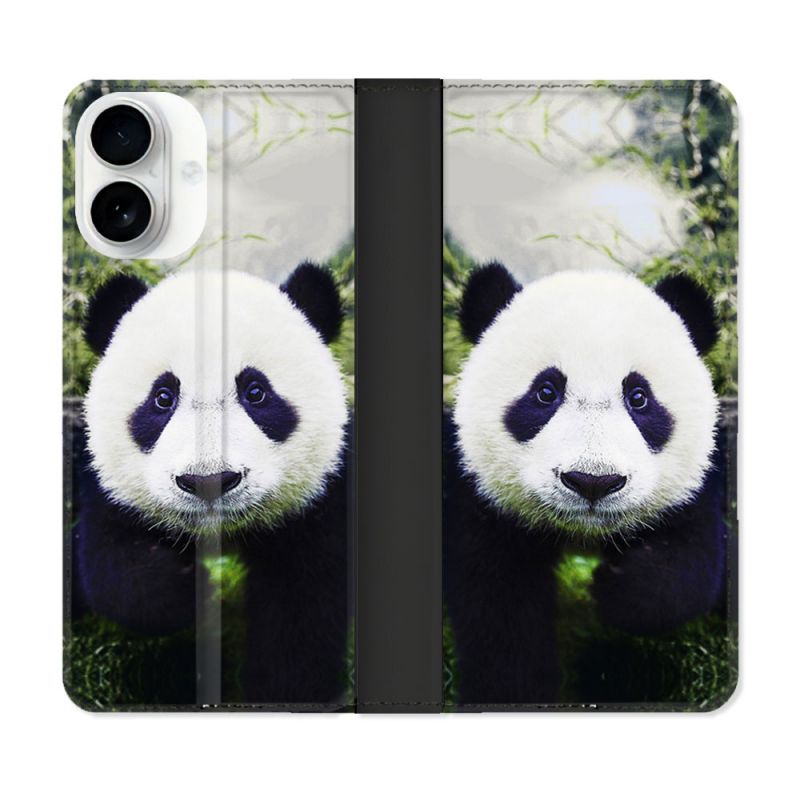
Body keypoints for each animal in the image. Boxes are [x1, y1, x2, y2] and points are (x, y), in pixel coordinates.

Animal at [74, 263, 350, 705]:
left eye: (256, 392)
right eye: (162, 397)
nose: (208, 481)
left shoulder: (318, 501)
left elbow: (301, 610)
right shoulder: (108, 490)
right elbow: (116, 571)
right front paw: (191, 590)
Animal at [445, 264, 726, 705]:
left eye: (639, 397)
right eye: (545, 392)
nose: (593, 482)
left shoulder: (693, 490)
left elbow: (687, 568)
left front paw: (617, 588)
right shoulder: (484, 503)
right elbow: (500, 612)